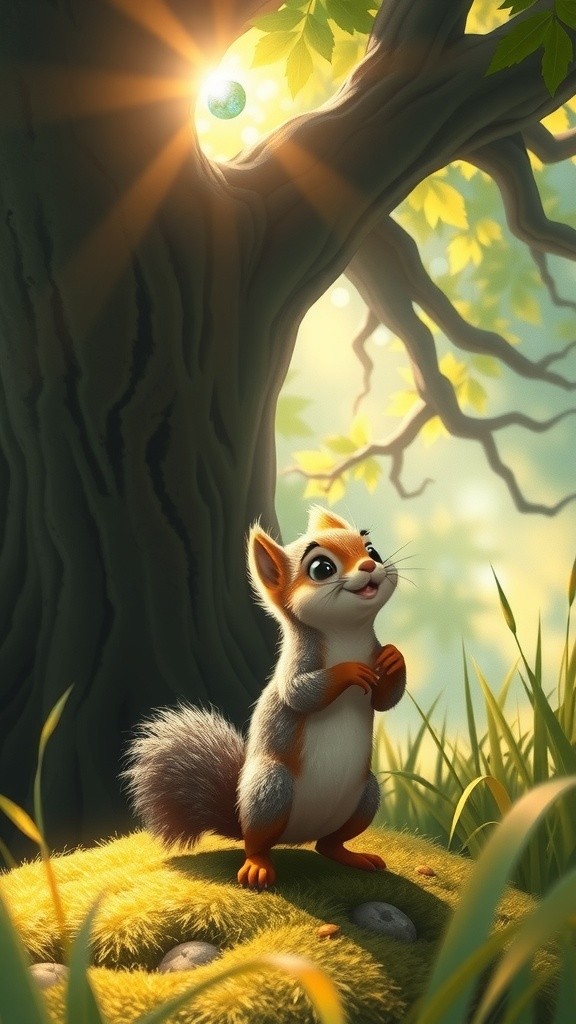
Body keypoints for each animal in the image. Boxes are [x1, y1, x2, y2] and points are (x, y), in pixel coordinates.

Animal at [123, 506, 406, 889]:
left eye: (372, 551)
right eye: (321, 568)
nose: (368, 566)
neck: (347, 634)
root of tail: (294, 838)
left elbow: (385, 700)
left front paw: (395, 657)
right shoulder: (296, 665)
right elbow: (299, 693)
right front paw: (348, 671)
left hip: (365, 796)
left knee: (328, 845)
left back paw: (353, 856)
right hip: (270, 790)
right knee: (256, 843)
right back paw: (257, 867)